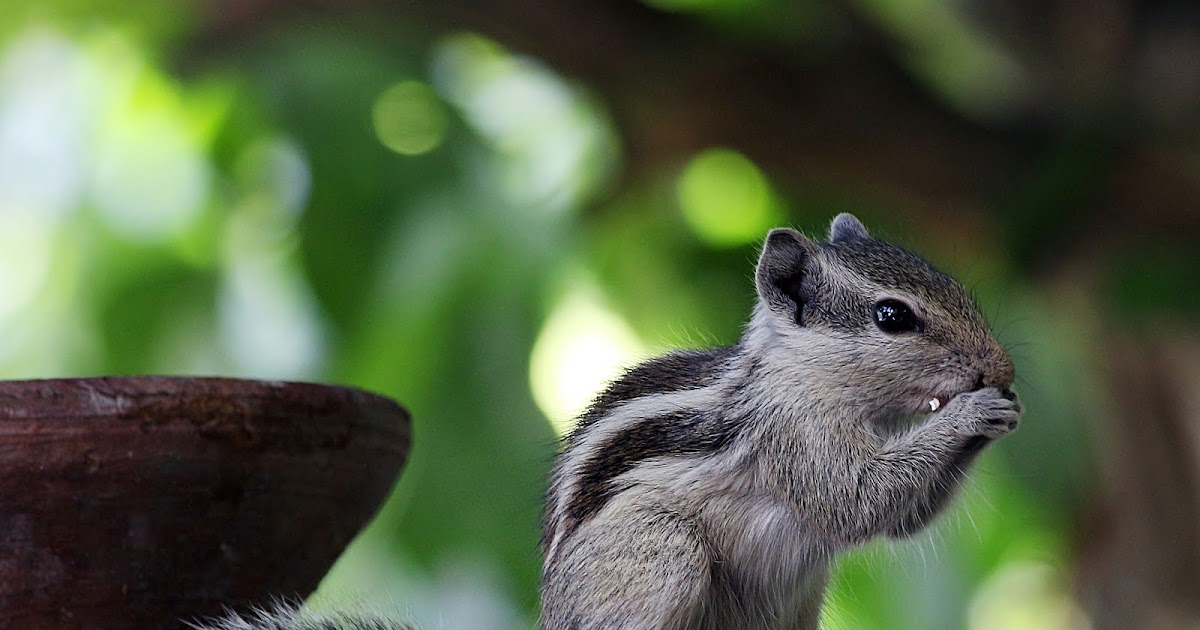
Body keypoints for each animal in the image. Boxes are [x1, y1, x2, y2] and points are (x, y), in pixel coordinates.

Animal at [193, 214, 1020, 630]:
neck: (800, 369)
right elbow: (859, 500)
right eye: (892, 317)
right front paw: (974, 412)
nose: (1002, 367)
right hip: (659, 555)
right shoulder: (795, 433)